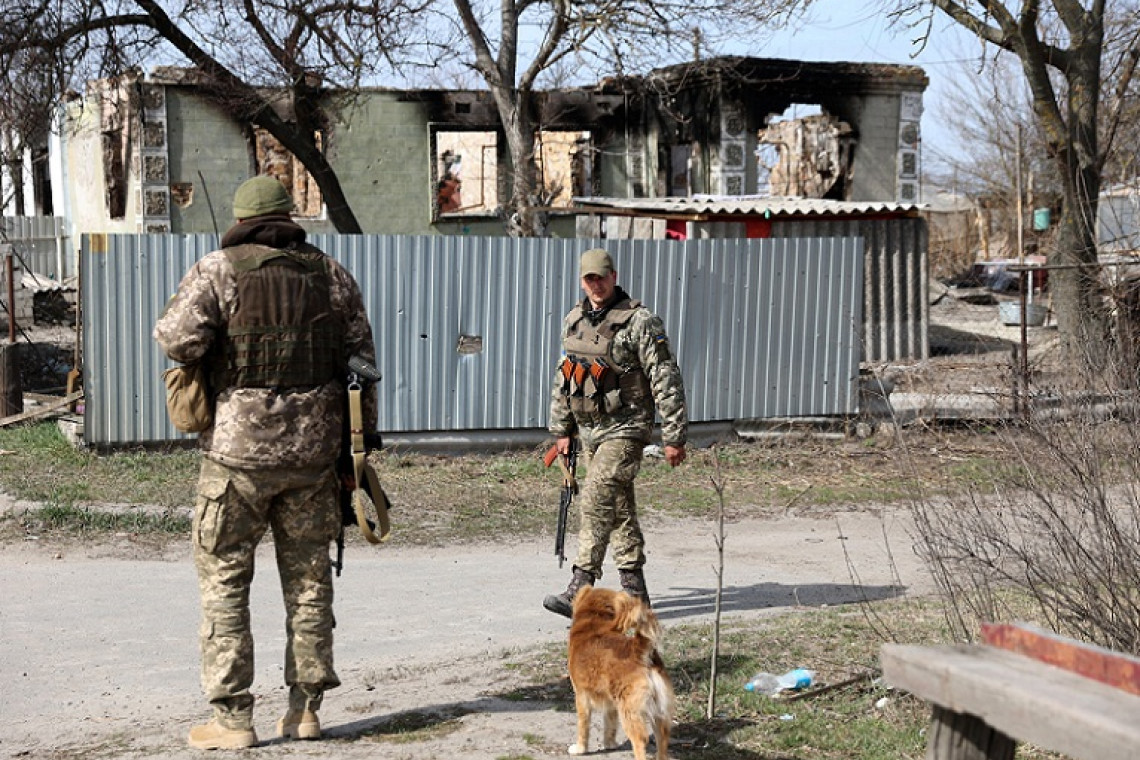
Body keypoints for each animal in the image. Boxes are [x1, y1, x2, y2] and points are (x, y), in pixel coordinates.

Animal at [566, 586, 675, 760]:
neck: (594, 623)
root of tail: (639, 651)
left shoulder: (582, 696)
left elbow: (583, 726)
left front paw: (580, 749)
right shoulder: (610, 702)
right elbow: (610, 723)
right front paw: (609, 744)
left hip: (630, 711)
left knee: (640, 740)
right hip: (659, 711)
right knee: (662, 737)